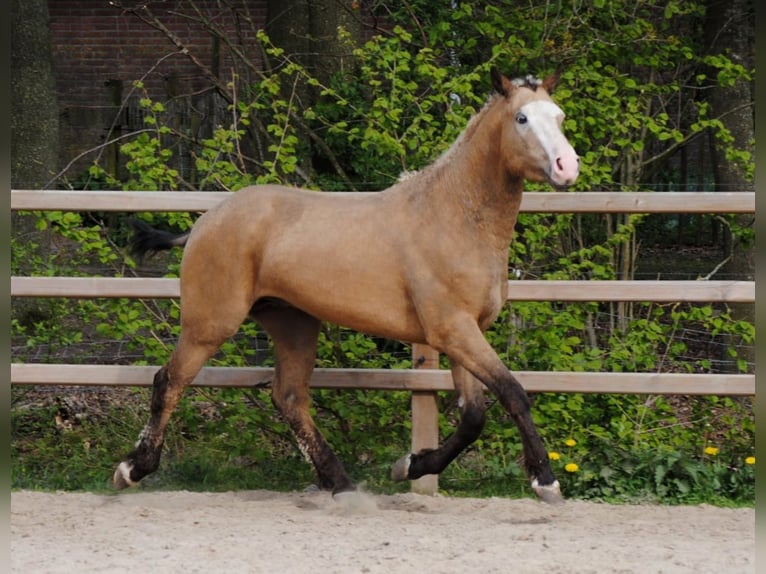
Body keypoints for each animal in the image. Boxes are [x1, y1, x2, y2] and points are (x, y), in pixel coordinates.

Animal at [114, 68, 580, 504]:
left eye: (559, 116)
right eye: (521, 118)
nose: (567, 166)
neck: (454, 217)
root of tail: (204, 222)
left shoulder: (464, 333)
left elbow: (473, 418)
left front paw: (409, 465)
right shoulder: (453, 330)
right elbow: (513, 394)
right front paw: (545, 481)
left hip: (293, 323)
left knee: (288, 398)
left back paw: (341, 484)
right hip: (210, 323)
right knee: (169, 381)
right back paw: (132, 469)